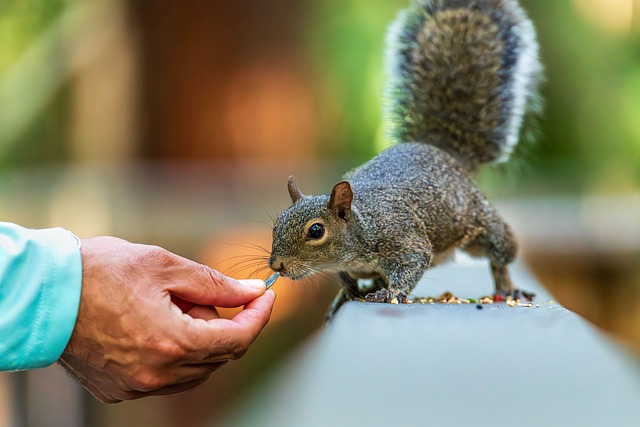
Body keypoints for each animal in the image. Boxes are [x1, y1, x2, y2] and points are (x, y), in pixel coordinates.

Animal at [269, 0, 543, 319]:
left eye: (316, 231)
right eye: (277, 224)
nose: (276, 265)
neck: (362, 229)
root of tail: (442, 153)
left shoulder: (402, 238)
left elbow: (413, 262)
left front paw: (391, 293)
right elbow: (346, 278)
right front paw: (345, 293)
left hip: (482, 227)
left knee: (500, 254)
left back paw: (507, 286)